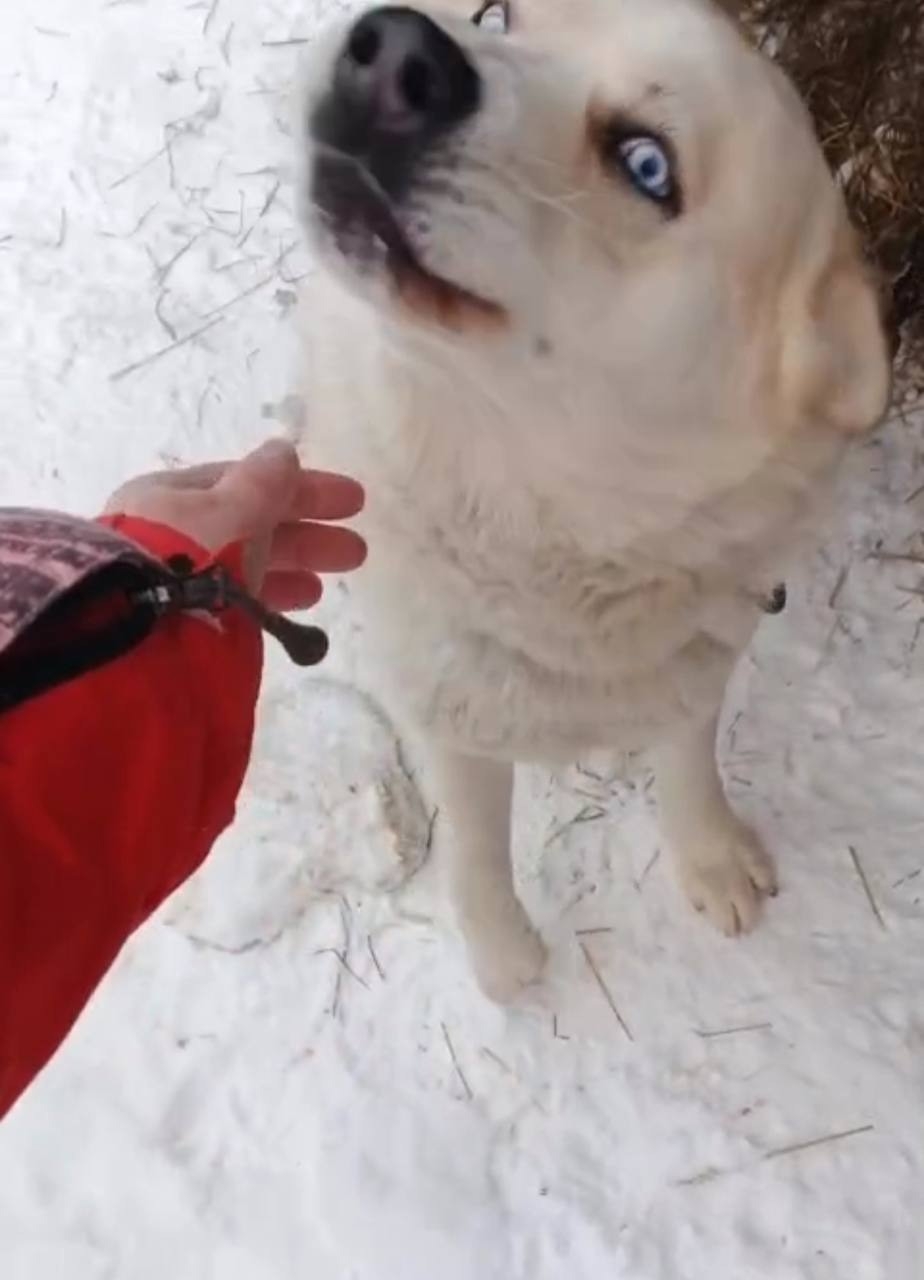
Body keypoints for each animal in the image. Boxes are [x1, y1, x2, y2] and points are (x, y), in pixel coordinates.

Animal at [296, 0, 891, 1001]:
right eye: (502, 16)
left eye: (646, 165)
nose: (391, 53)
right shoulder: (450, 710)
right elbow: (477, 849)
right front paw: (506, 961)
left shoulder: (699, 657)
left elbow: (689, 757)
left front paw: (710, 855)